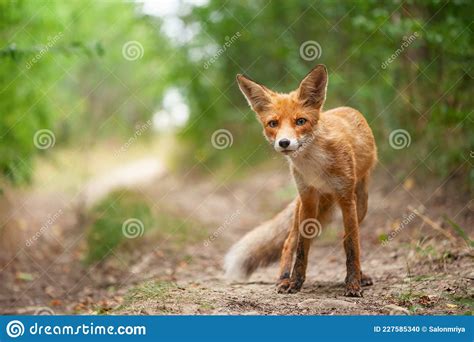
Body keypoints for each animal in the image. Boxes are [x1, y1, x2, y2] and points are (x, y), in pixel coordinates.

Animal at [226, 64, 378, 296]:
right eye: (273, 123)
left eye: (300, 121)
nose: (284, 142)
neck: (315, 165)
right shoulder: (307, 197)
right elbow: (301, 248)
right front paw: (295, 282)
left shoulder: (346, 198)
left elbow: (352, 244)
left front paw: (353, 283)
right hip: (305, 206)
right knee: (289, 241)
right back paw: (282, 278)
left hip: (360, 202)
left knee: (347, 236)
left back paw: (361, 276)